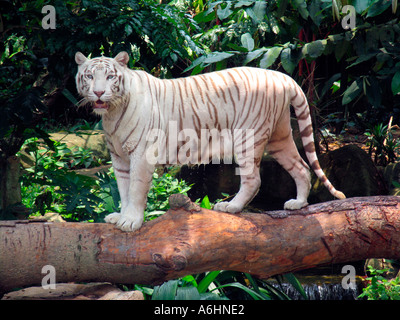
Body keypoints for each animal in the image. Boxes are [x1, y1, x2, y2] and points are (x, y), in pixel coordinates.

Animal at [76, 52, 346, 232]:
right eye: (89, 76)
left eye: (110, 77)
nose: (98, 93)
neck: (112, 113)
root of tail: (283, 77)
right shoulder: (119, 158)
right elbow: (122, 189)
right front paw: (120, 216)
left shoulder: (142, 155)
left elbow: (135, 189)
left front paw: (131, 221)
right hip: (280, 137)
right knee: (301, 168)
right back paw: (298, 203)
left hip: (248, 136)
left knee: (254, 179)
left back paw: (231, 207)